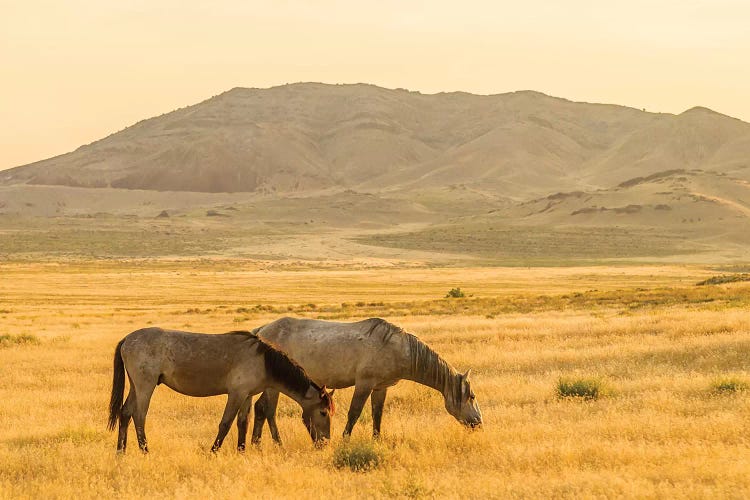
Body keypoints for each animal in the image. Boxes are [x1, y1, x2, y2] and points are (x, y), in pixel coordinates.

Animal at [107, 328, 336, 454]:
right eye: (323, 412)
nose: (325, 442)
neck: (264, 361)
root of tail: (127, 339)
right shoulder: (235, 394)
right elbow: (225, 424)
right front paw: (213, 451)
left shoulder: (247, 395)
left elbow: (243, 423)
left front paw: (242, 451)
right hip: (145, 386)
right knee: (139, 416)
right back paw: (145, 450)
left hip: (135, 386)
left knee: (125, 413)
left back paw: (121, 451)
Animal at [244, 316, 484, 446]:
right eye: (472, 396)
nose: (478, 423)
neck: (397, 348)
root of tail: (261, 330)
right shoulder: (364, 384)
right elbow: (355, 413)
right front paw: (345, 440)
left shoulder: (380, 388)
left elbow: (377, 415)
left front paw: (377, 440)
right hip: (274, 386)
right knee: (267, 409)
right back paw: (276, 443)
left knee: (260, 408)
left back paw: (257, 443)